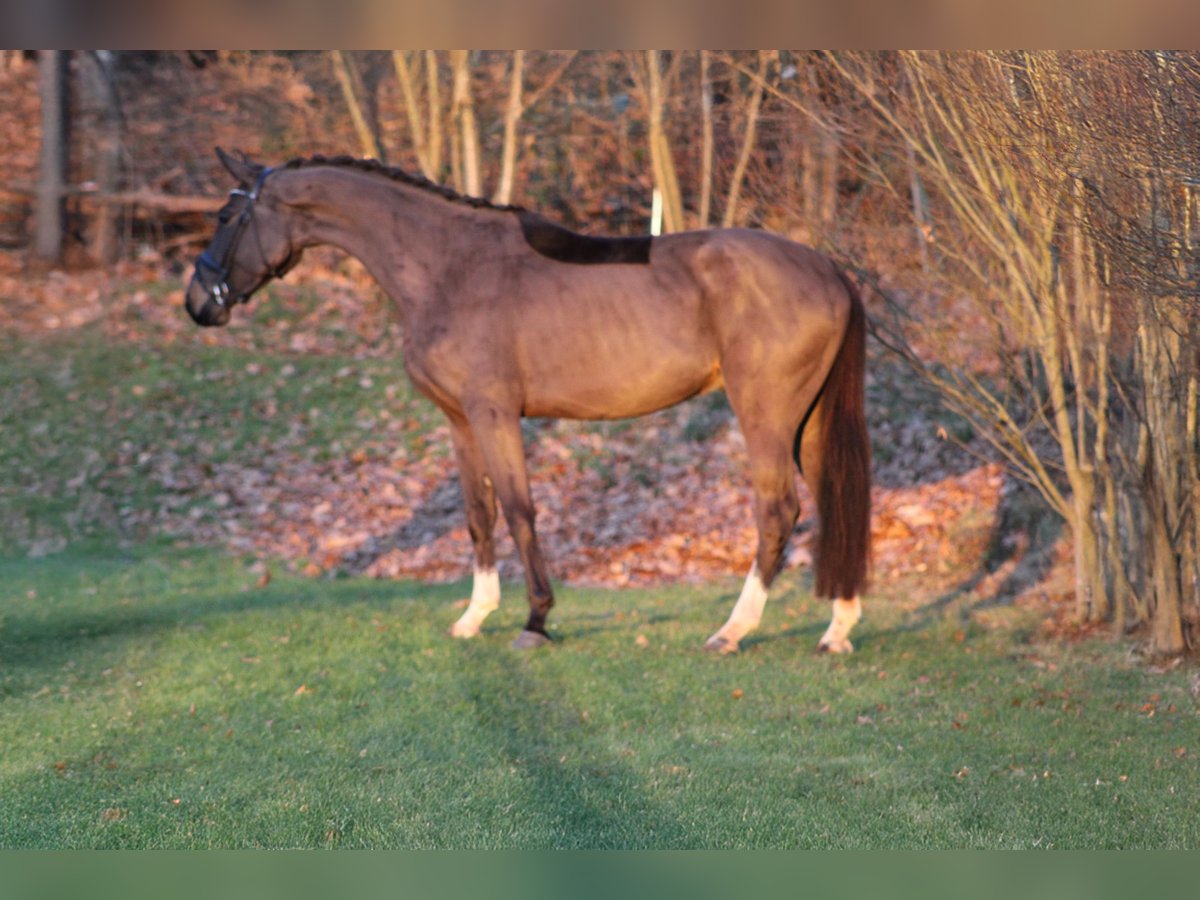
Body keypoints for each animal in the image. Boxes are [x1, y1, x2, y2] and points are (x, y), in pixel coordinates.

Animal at [182, 148, 868, 657]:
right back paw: (837, 628)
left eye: (226, 216)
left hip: (765, 415)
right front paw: (474, 616)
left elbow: (518, 510)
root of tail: (827, 269)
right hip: (807, 421)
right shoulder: (459, 421)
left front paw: (535, 620)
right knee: (834, 501)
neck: (448, 267)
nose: (197, 303)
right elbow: (477, 514)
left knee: (777, 510)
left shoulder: (495, 414)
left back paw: (732, 630)